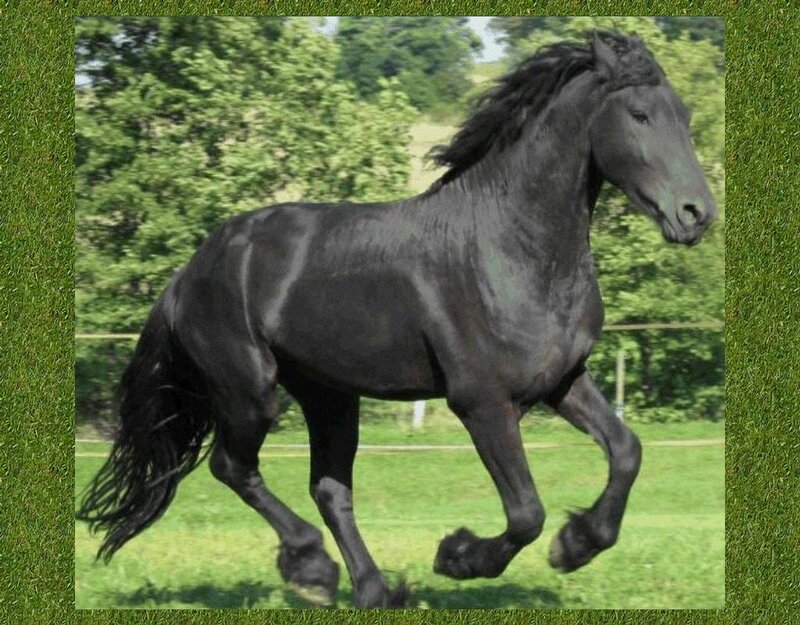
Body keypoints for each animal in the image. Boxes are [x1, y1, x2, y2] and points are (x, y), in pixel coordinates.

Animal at [77, 31, 718, 608]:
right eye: (639, 114)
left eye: (684, 114)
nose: (696, 214)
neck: (511, 247)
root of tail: (189, 272)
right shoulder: (482, 402)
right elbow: (526, 513)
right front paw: (458, 555)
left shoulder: (562, 380)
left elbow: (627, 451)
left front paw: (577, 543)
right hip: (249, 392)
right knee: (233, 467)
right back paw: (313, 570)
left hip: (330, 396)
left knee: (330, 488)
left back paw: (373, 589)